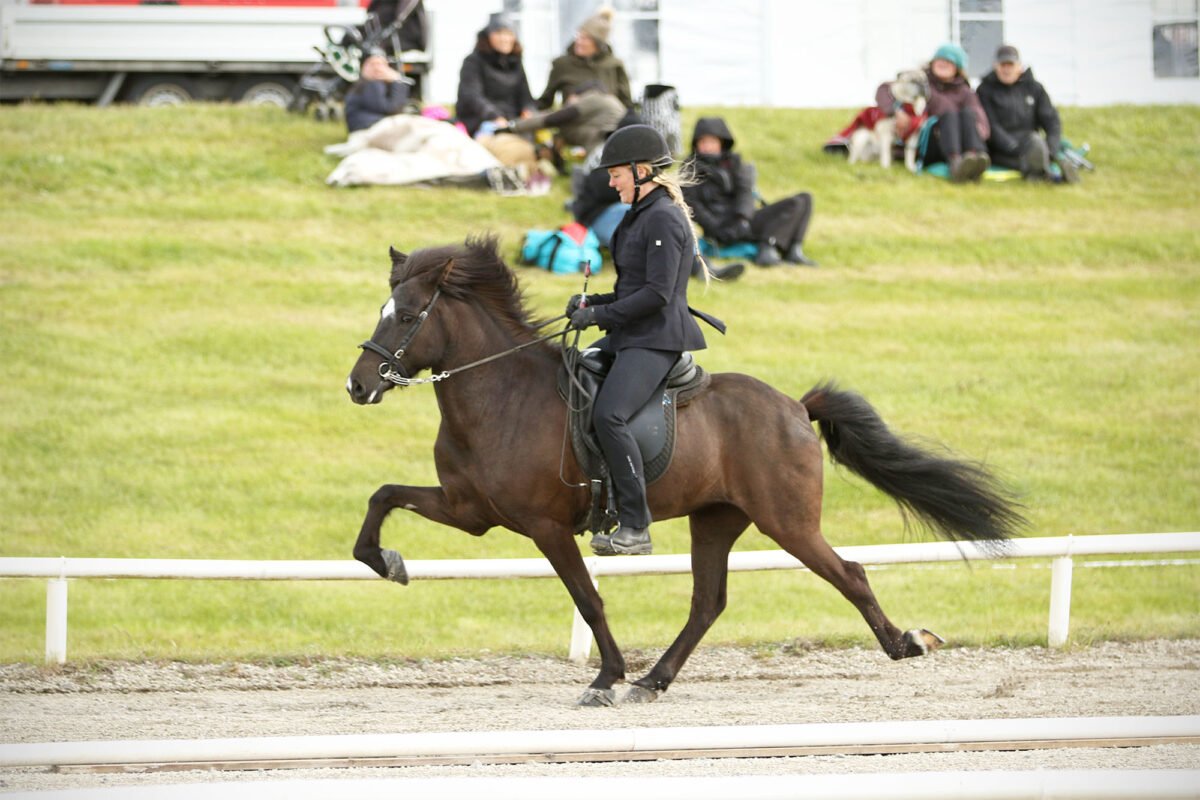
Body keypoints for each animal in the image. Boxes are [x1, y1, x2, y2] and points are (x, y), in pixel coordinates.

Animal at [345, 237, 1022, 705]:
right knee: (708, 601)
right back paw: (655, 679)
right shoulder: (471, 512)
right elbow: (382, 498)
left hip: (787, 521)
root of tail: (794, 407)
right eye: (382, 309)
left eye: (407, 317)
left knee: (847, 573)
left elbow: (588, 599)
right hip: (717, 518)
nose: (357, 386)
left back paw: (904, 643)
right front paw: (388, 563)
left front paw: (605, 678)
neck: (498, 396)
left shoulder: (545, 526)